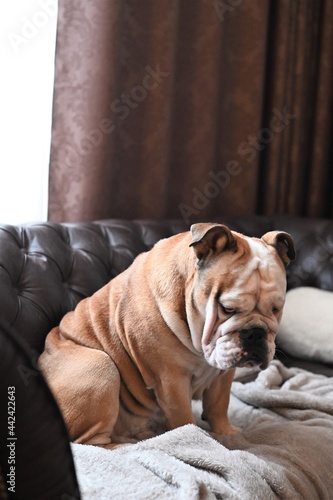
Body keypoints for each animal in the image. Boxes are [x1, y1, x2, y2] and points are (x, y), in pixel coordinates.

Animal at [37, 224, 294, 450]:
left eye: (276, 308)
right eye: (228, 308)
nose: (255, 333)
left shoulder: (223, 374)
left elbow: (219, 405)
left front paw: (226, 432)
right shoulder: (171, 381)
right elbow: (185, 420)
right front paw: (200, 440)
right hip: (100, 365)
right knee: (89, 443)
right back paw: (126, 446)